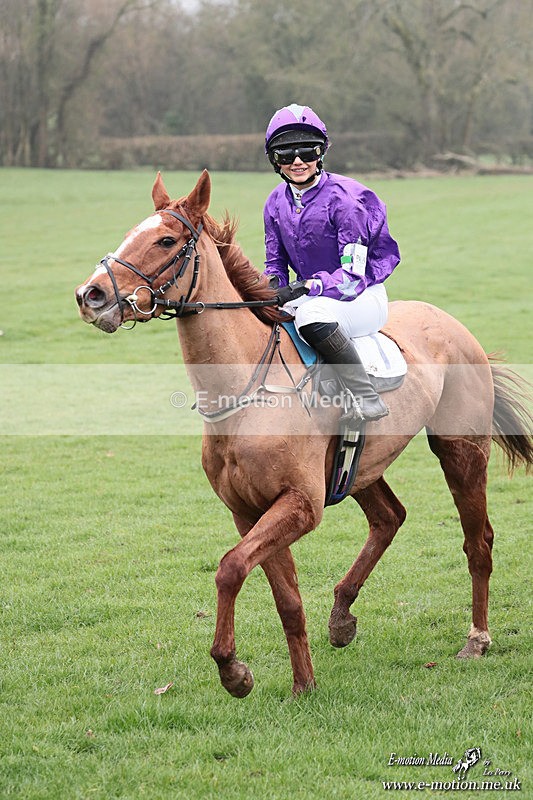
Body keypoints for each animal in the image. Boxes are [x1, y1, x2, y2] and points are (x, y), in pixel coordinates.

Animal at [75, 170, 532, 697]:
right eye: (130, 232)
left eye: (166, 240)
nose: (90, 296)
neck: (245, 397)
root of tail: (454, 325)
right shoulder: (250, 511)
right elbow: (286, 599)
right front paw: (303, 685)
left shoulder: (300, 504)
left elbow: (230, 568)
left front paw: (233, 671)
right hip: (358, 466)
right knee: (389, 518)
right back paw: (341, 618)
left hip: (460, 449)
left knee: (478, 542)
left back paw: (476, 638)